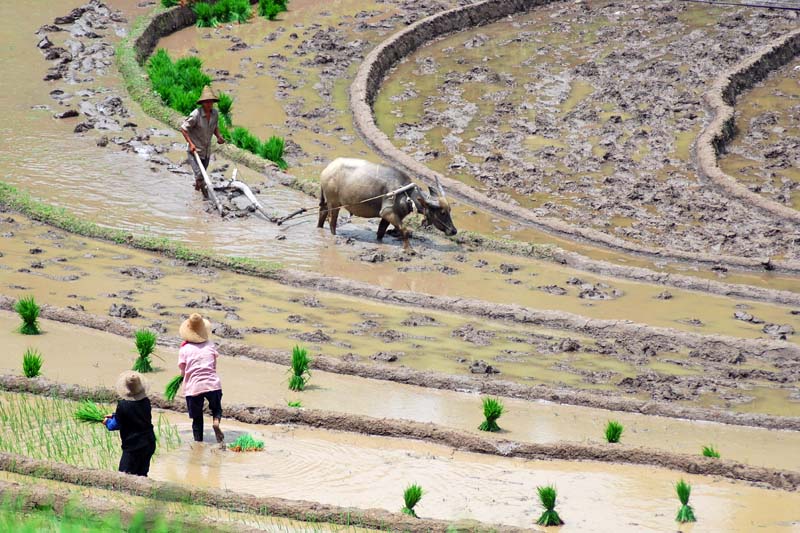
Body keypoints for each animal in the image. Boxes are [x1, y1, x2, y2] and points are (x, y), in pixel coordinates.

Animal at [318, 156, 456, 247]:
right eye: (442, 212)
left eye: (450, 210)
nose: (454, 231)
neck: (406, 194)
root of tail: (326, 170)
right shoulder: (388, 213)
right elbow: (405, 231)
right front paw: (409, 250)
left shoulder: (388, 216)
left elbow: (381, 232)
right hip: (334, 203)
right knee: (332, 221)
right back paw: (334, 235)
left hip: (326, 201)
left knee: (322, 212)